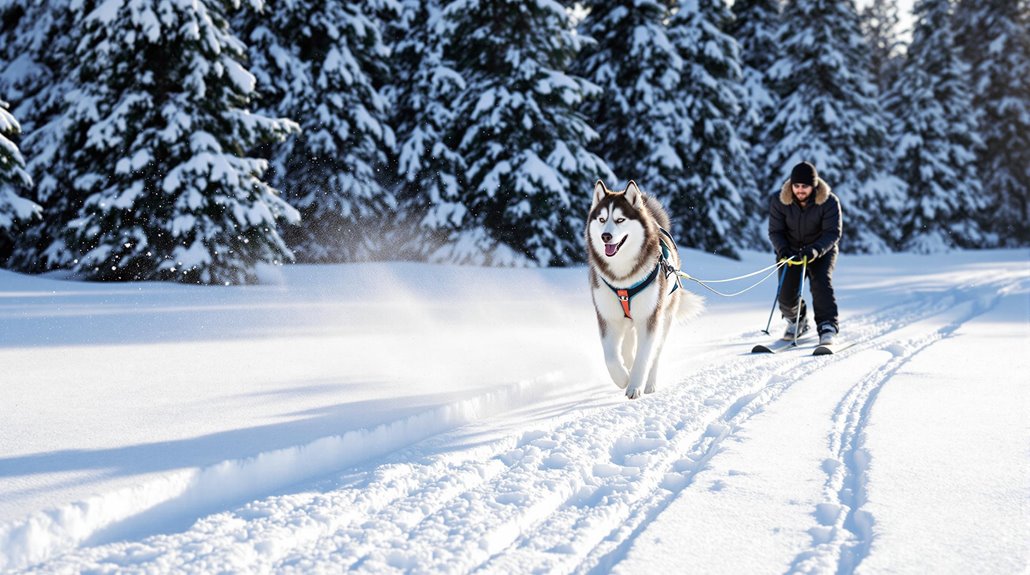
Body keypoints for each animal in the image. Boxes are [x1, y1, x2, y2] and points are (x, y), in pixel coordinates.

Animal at [585, 180, 704, 401]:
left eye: (620, 219)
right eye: (602, 219)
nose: (606, 236)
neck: (622, 278)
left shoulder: (650, 317)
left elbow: (644, 356)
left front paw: (634, 385)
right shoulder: (608, 317)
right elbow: (611, 358)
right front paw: (623, 378)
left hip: (665, 317)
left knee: (656, 353)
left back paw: (650, 383)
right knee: (628, 345)